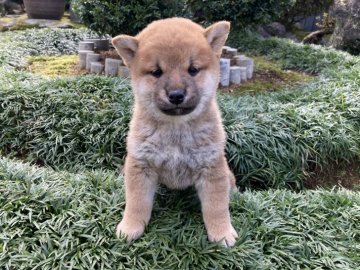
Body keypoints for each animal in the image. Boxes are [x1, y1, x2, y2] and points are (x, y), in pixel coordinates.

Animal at [111, 17, 238, 247]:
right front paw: (130, 228)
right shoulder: (140, 165)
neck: (175, 130)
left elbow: (216, 207)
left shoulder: (212, 169)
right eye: (157, 72)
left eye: (193, 69)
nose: (177, 95)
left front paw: (222, 233)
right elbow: (136, 203)